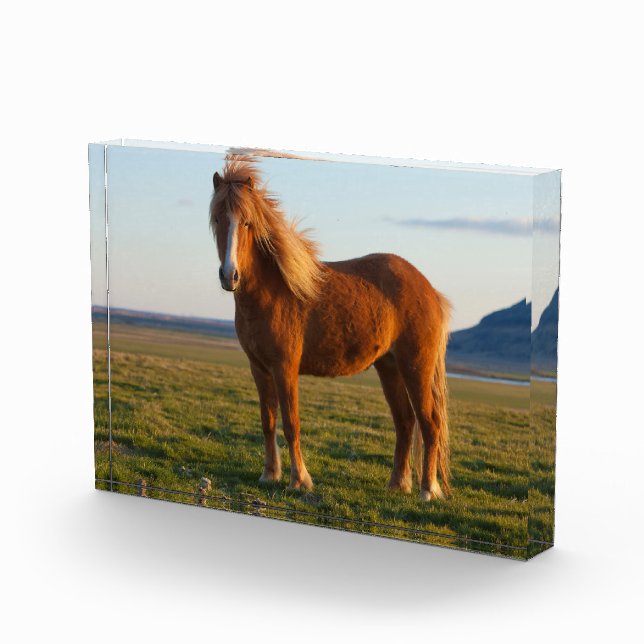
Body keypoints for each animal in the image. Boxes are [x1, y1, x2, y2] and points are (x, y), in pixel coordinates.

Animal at [209, 153, 451, 501]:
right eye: (217, 219)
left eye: (246, 222)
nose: (230, 275)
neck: (272, 291)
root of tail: (429, 290)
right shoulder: (259, 368)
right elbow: (268, 421)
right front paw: (269, 474)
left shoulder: (285, 368)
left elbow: (291, 423)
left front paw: (299, 480)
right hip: (389, 366)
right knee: (405, 422)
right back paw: (397, 484)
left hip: (415, 366)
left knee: (429, 423)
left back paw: (427, 491)